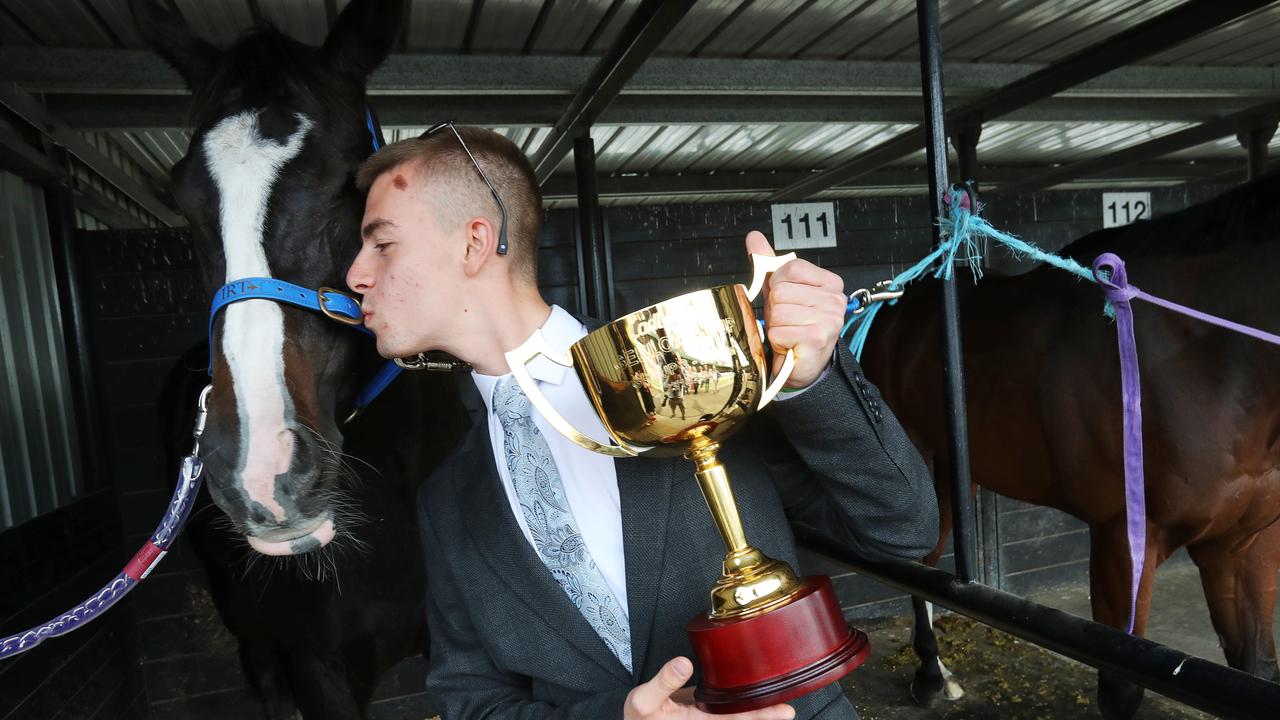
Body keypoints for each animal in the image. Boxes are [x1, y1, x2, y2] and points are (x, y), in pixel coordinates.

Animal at [855, 174, 1280, 717]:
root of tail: (889, 308)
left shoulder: (1246, 547)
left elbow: (1257, 667)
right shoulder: (1121, 544)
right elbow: (1122, 692)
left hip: (950, 469)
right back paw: (929, 675)